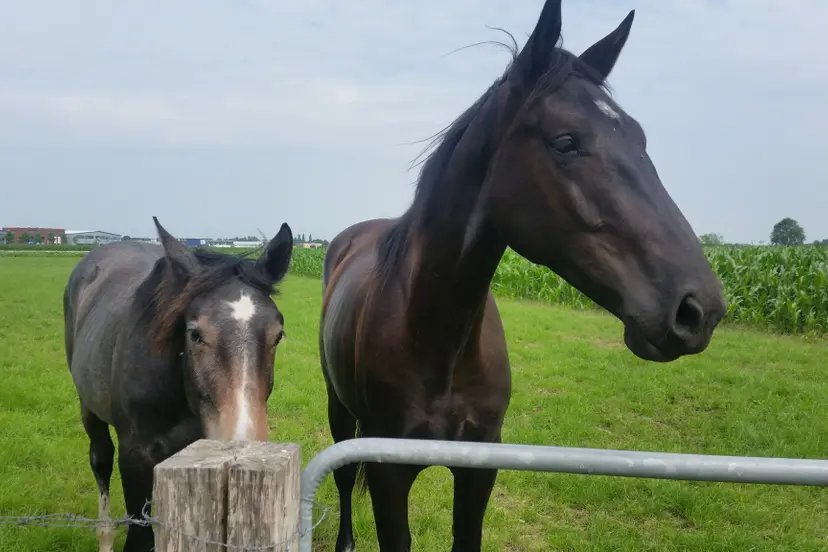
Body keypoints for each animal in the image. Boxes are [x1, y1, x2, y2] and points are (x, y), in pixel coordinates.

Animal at [64, 217, 293, 552]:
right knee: (100, 459)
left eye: (278, 335)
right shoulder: (135, 457)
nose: (241, 439)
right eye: (195, 334)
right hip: (89, 409)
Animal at [318, 1, 727, 550]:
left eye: (640, 138)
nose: (699, 309)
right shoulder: (389, 475)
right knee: (343, 477)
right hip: (339, 409)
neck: (437, 338)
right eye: (565, 142)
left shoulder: (478, 469)